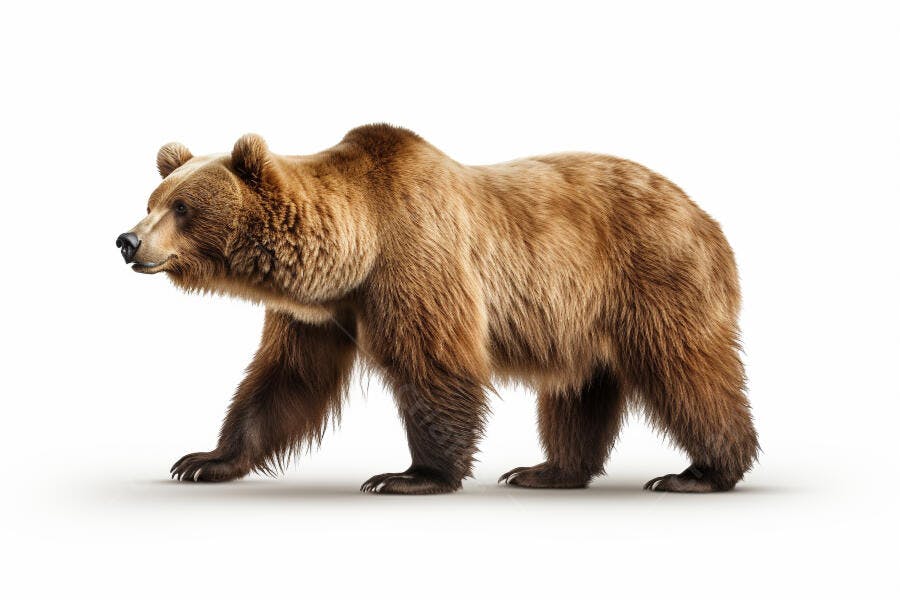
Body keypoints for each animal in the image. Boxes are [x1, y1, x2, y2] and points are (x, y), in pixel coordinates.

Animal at [117, 124, 758, 494]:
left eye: (182, 207)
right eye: (152, 200)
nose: (127, 240)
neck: (354, 254)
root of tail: (706, 215)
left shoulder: (416, 261)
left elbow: (435, 365)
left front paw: (408, 476)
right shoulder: (319, 314)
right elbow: (283, 381)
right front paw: (203, 460)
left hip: (653, 275)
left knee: (686, 370)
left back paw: (700, 472)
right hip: (580, 315)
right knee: (579, 389)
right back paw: (546, 471)